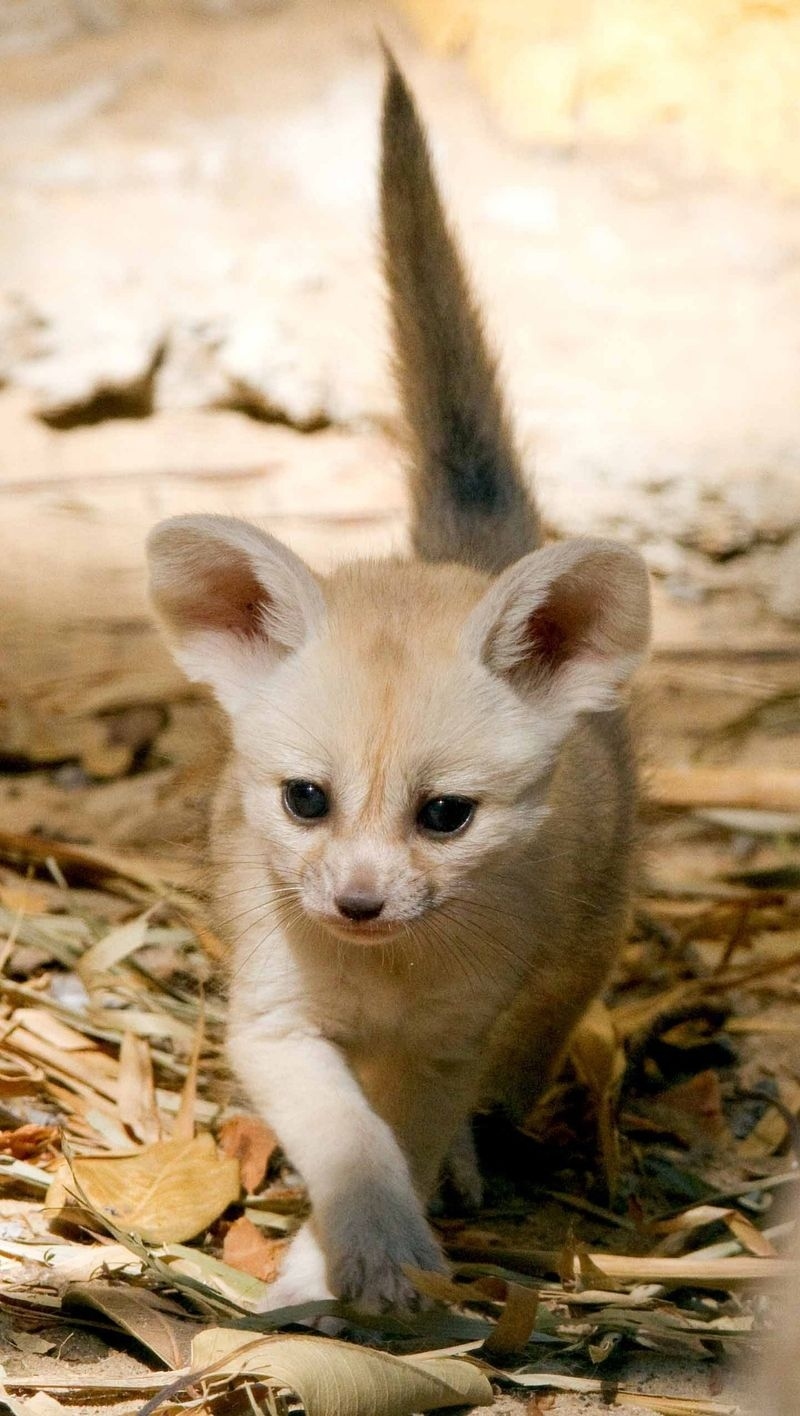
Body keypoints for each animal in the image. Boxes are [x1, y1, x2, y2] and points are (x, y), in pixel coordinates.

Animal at [146, 58, 651, 1314]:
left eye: (444, 816)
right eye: (304, 800)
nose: (358, 905)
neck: (383, 980)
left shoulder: (447, 1041)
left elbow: (406, 1133)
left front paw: (359, 1260)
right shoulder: (273, 1024)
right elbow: (345, 1136)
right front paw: (345, 1259)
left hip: (583, 940)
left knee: (531, 1046)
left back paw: (485, 1147)